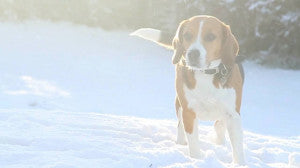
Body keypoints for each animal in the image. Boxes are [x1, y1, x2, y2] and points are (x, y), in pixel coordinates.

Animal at [131, 15, 244, 165]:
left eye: (211, 36)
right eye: (187, 35)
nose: (193, 54)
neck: (205, 73)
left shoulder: (233, 115)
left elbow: (237, 148)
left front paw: (240, 164)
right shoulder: (189, 112)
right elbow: (194, 144)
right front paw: (197, 161)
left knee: (219, 125)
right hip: (179, 104)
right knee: (180, 125)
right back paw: (181, 141)